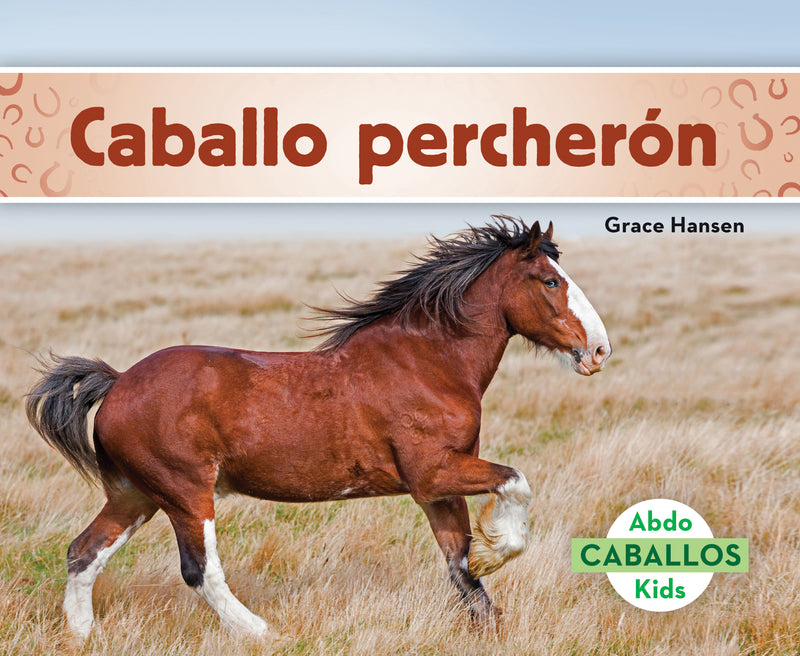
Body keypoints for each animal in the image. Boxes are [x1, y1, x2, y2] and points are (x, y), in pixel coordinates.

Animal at [25, 217, 611, 642]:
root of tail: (117, 383)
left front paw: (489, 621)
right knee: (199, 570)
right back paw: (260, 631)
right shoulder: (433, 473)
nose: (599, 351)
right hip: (186, 493)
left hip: (135, 495)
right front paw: (500, 546)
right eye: (551, 281)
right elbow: (515, 483)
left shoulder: (436, 490)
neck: (428, 362)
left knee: (83, 552)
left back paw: (82, 636)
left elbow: (459, 563)